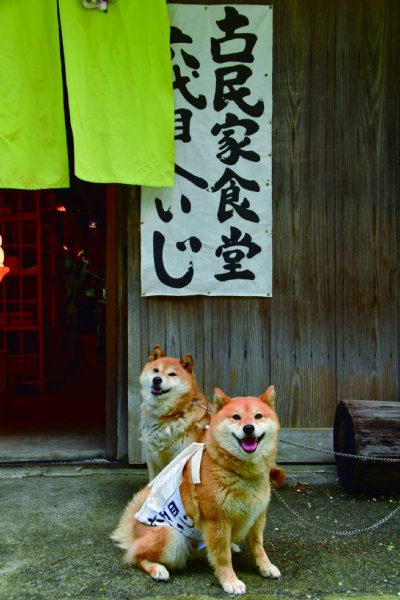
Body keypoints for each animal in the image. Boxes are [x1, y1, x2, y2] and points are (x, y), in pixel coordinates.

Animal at [111, 384, 282, 596]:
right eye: (236, 417)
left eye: (258, 416)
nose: (248, 428)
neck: (239, 472)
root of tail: (134, 528)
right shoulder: (217, 521)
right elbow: (222, 557)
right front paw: (230, 581)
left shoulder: (257, 517)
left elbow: (258, 547)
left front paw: (265, 566)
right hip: (171, 537)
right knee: (136, 556)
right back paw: (157, 569)